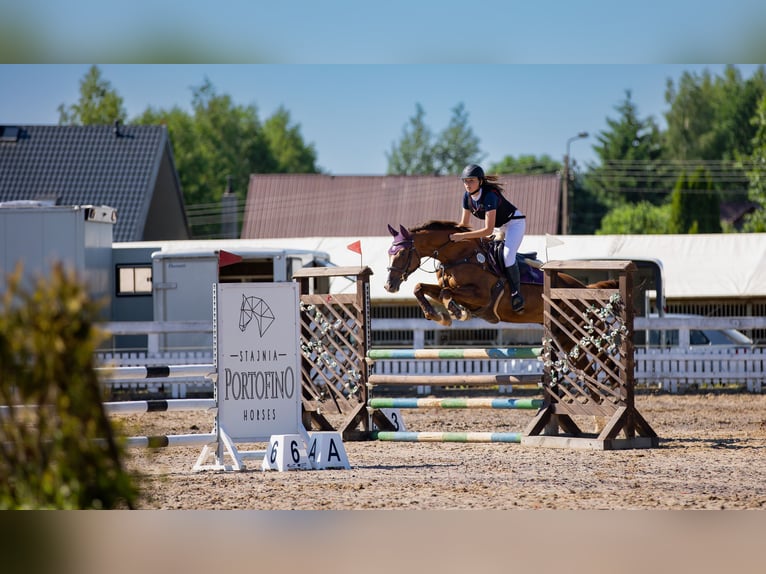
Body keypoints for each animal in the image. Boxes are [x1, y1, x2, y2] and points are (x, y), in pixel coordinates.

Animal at [388, 222, 596, 328]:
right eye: (389, 252)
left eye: (402, 253)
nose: (389, 286)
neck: (460, 256)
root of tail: (584, 287)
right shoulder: (448, 288)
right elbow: (421, 288)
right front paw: (438, 316)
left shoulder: (481, 296)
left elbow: (446, 293)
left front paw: (457, 312)